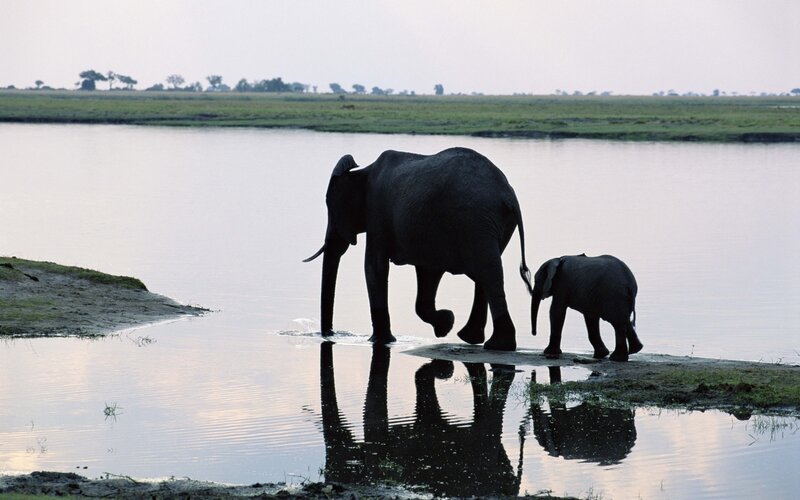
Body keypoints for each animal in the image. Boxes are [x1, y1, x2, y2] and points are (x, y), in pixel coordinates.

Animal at [305, 147, 533, 351]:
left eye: (330, 208)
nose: (329, 334)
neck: (363, 172)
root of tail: (508, 195)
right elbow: (428, 273)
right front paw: (445, 323)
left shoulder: (377, 212)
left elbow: (374, 266)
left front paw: (381, 341)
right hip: (490, 224)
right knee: (487, 272)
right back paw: (476, 339)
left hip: (476, 220)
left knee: (487, 273)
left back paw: (496, 344)